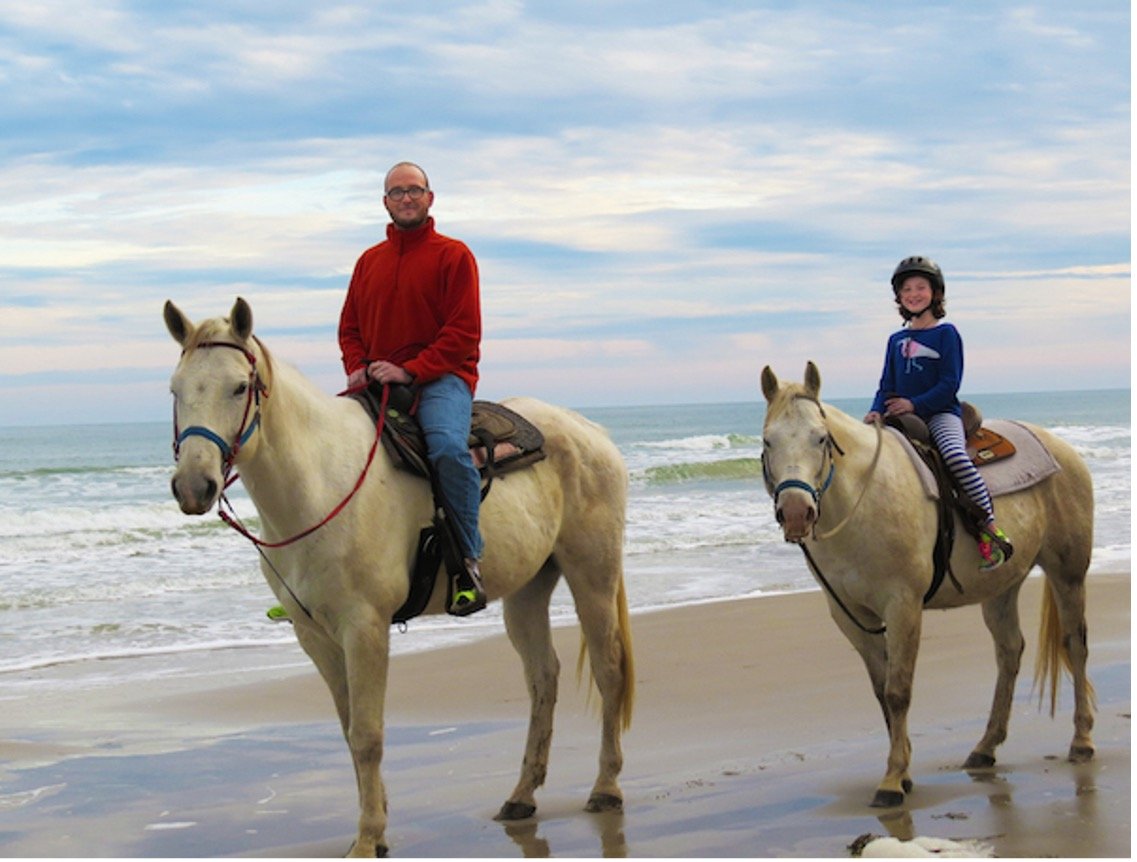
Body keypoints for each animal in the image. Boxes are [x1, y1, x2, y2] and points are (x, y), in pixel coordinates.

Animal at [164, 297, 636, 859]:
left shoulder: (365, 628)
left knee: (608, 670)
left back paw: (606, 787)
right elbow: (349, 731)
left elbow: (368, 735)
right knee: (543, 677)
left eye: (239, 387)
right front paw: (376, 827)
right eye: (175, 389)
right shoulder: (314, 636)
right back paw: (521, 796)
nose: (194, 486)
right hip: (527, 591)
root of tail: (592, 433)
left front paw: (369, 837)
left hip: (592, 574)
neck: (320, 484)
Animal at [759, 363, 1096, 809]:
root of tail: (1061, 448)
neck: (863, 499)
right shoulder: (852, 617)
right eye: (768, 440)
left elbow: (898, 690)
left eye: (821, 438)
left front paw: (891, 782)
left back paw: (1082, 740)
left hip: (1068, 572)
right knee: (1009, 651)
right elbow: (881, 692)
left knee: (1075, 644)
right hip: (1002, 586)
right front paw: (902, 774)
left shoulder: (903, 606)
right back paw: (985, 747)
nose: (797, 512)